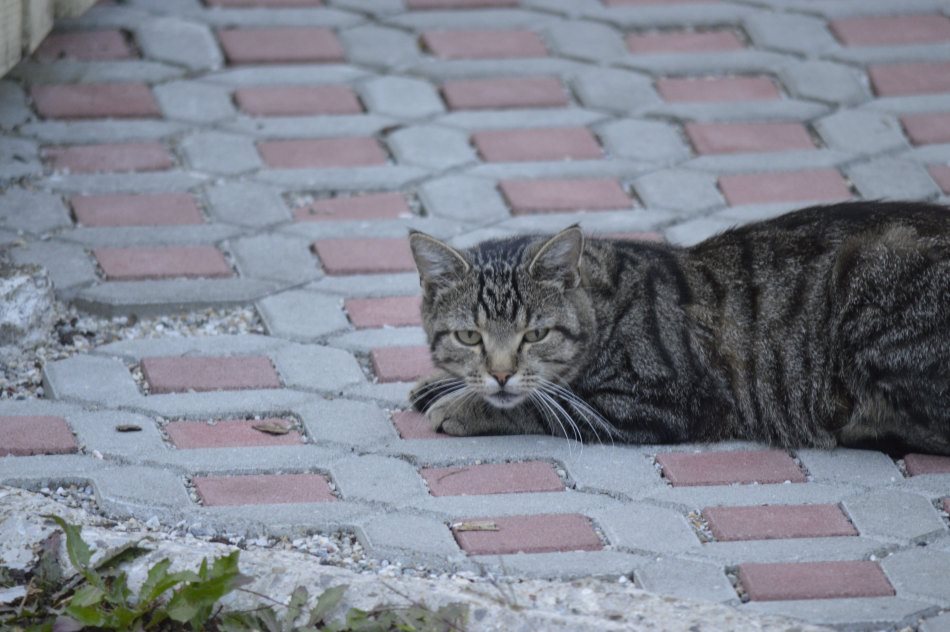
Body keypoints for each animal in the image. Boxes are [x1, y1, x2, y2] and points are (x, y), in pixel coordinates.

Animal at [408, 201, 950, 454]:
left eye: (534, 335)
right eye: (470, 336)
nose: (500, 374)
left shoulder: (655, 401)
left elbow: (546, 407)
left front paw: (463, 406)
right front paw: (442, 383)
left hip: (872, 267)